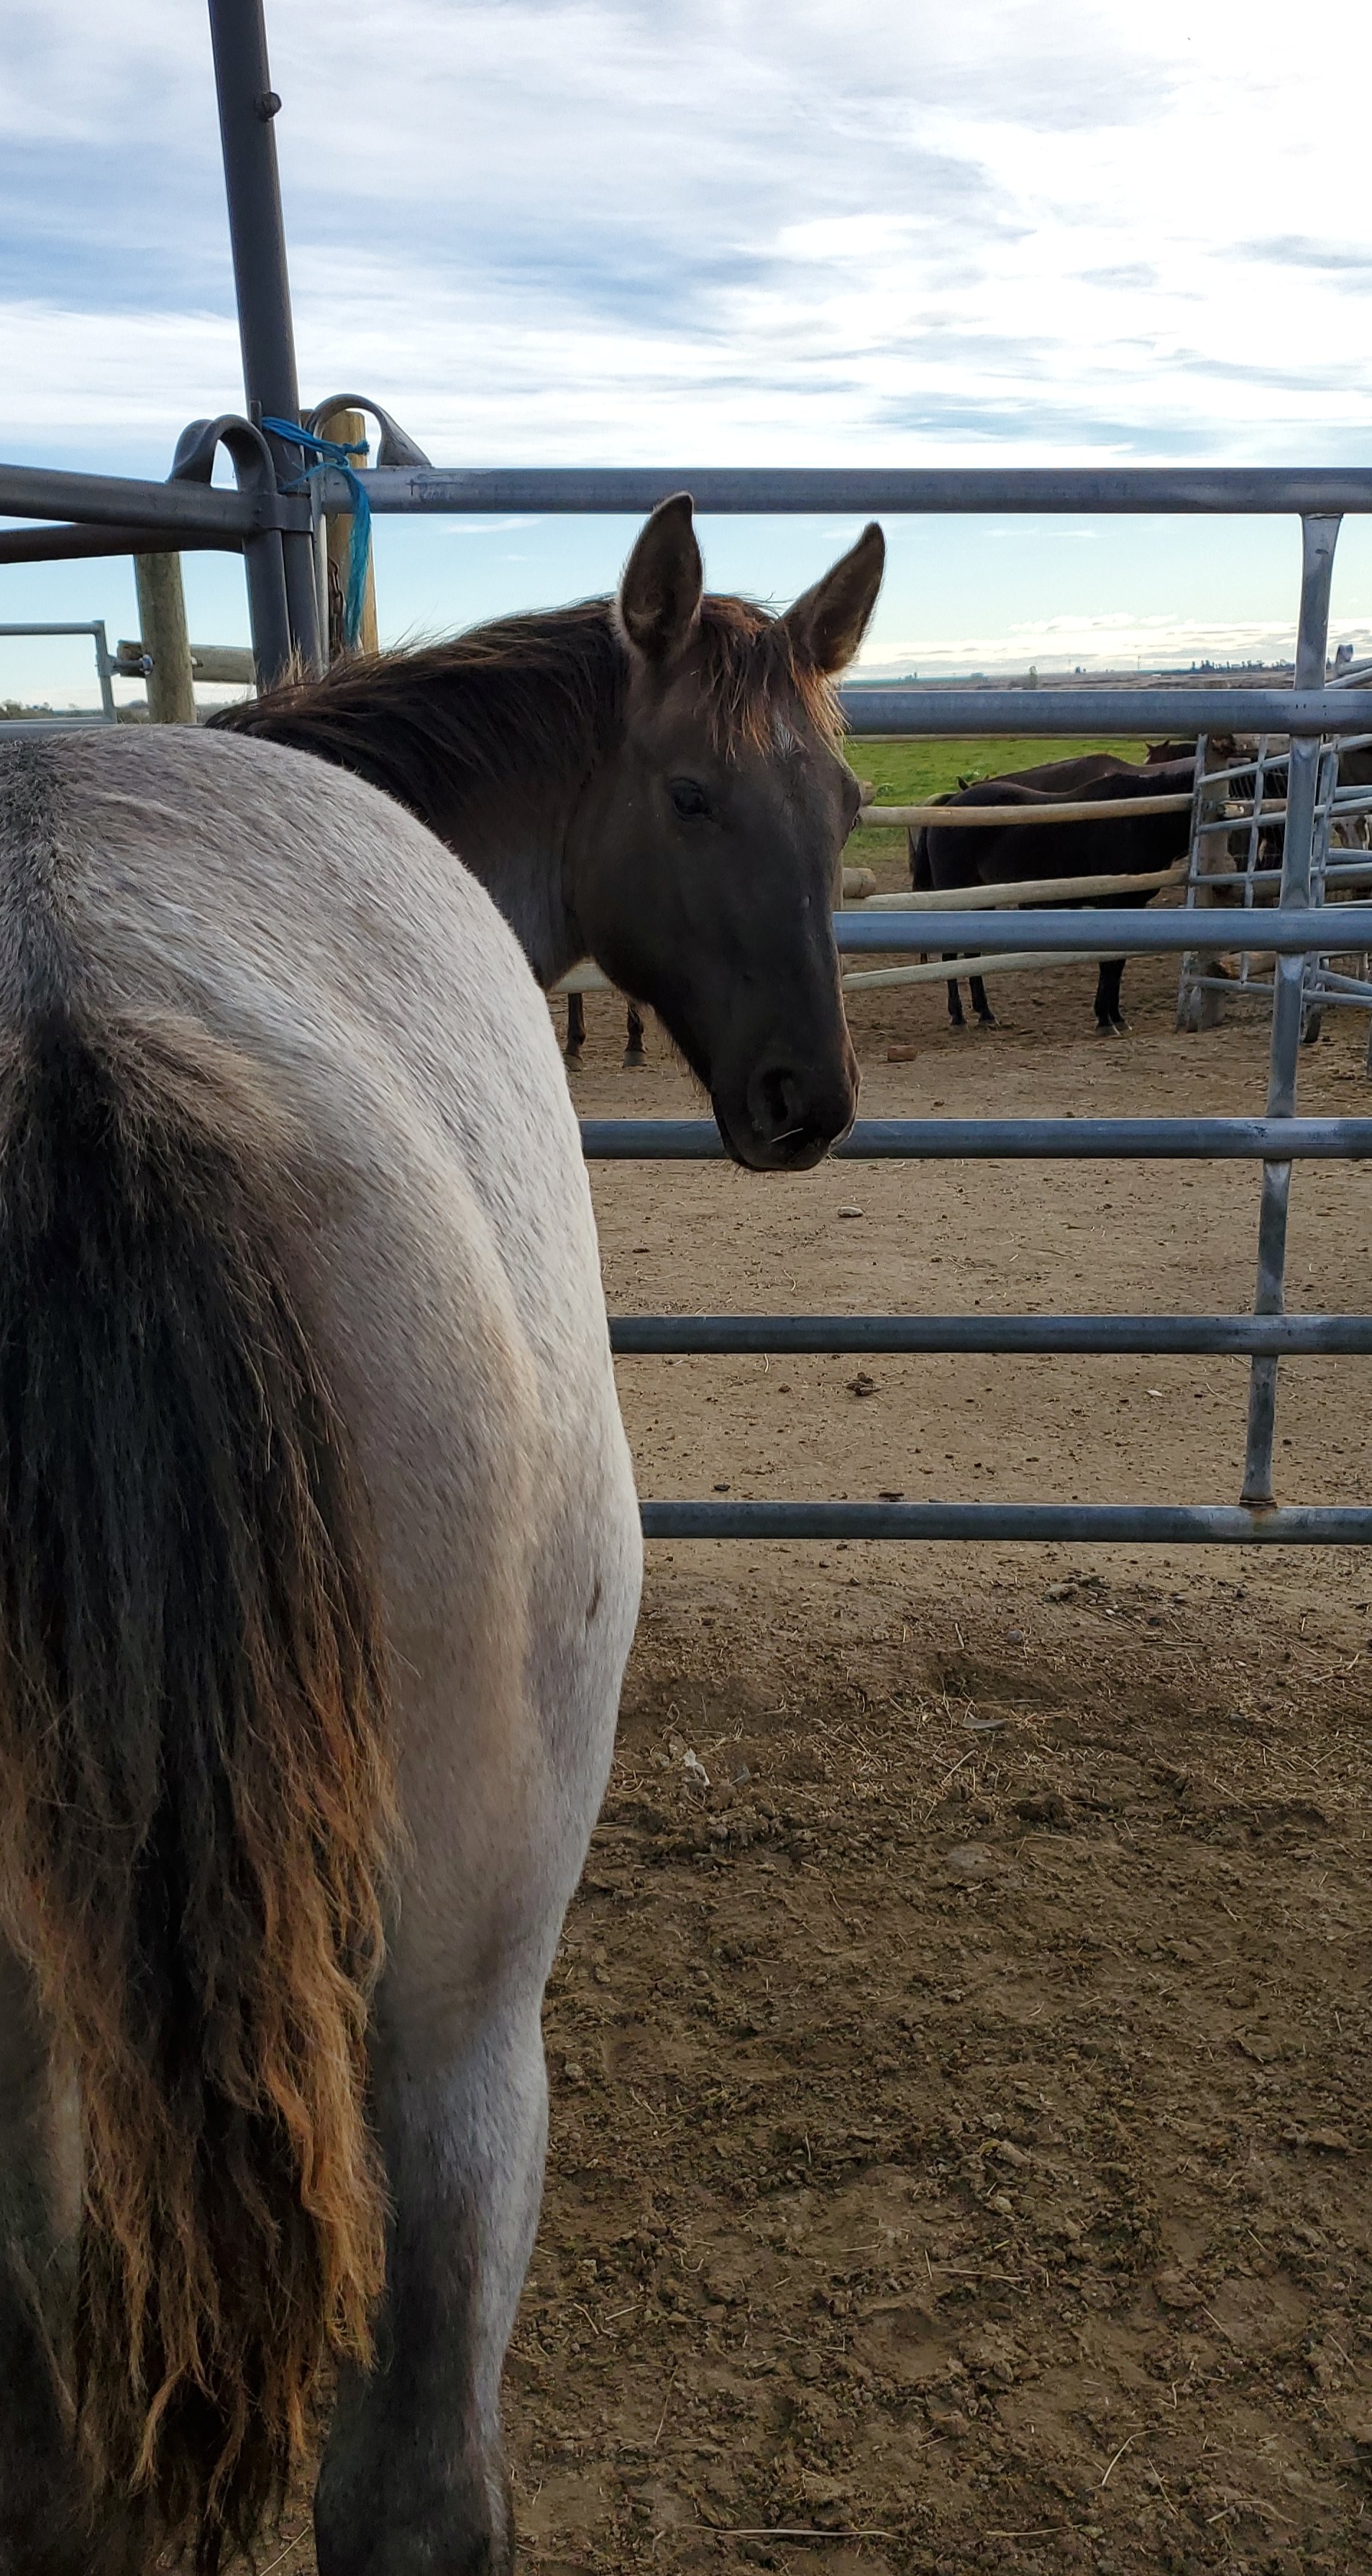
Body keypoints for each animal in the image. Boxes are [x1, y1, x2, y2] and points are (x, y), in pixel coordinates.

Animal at [909, 759, 1196, 1034]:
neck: (1139, 821)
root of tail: (949, 806)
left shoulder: (1133, 905)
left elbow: (1118, 962)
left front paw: (1116, 1017)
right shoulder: (1114, 903)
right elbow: (1108, 963)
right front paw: (1105, 1020)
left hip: (981, 899)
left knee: (971, 956)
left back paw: (986, 1015)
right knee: (950, 956)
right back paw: (958, 1018)